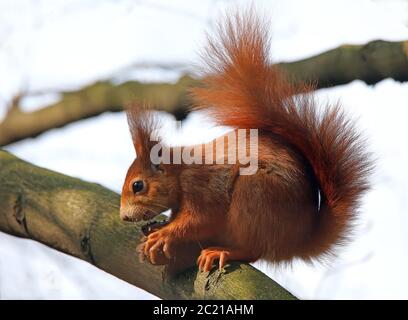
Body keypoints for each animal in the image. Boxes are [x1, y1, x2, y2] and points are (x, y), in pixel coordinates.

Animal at [118, 10, 372, 272]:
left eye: (138, 185)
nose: (124, 217)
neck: (180, 171)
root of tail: (297, 241)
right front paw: (158, 228)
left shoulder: (202, 186)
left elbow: (201, 218)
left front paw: (165, 233)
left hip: (256, 194)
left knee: (254, 250)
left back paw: (224, 251)